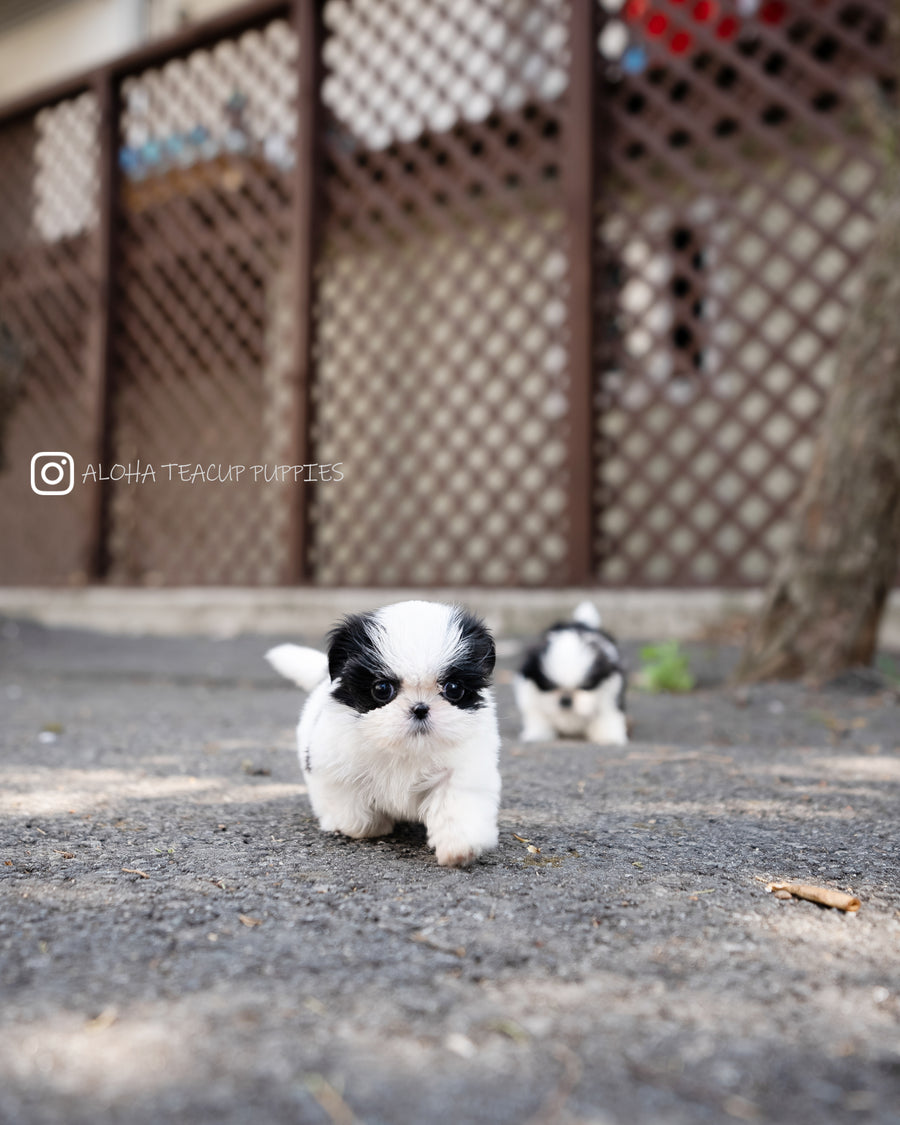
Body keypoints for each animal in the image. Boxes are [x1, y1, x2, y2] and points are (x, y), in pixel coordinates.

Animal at [263, 603, 501, 864]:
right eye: (382, 689)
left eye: (454, 688)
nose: (420, 708)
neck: (405, 748)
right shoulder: (335, 764)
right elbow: (351, 808)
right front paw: (367, 827)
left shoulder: (463, 769)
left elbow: (456, 804)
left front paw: (458, 847)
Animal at [513, 598, 625, 747]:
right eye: (549, 686)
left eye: (585, 686)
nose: (566, 699)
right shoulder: (529, 694)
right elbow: (537, 714)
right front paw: (538, 734)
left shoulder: (611, 692)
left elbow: (607, 714)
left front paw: (609, 737)